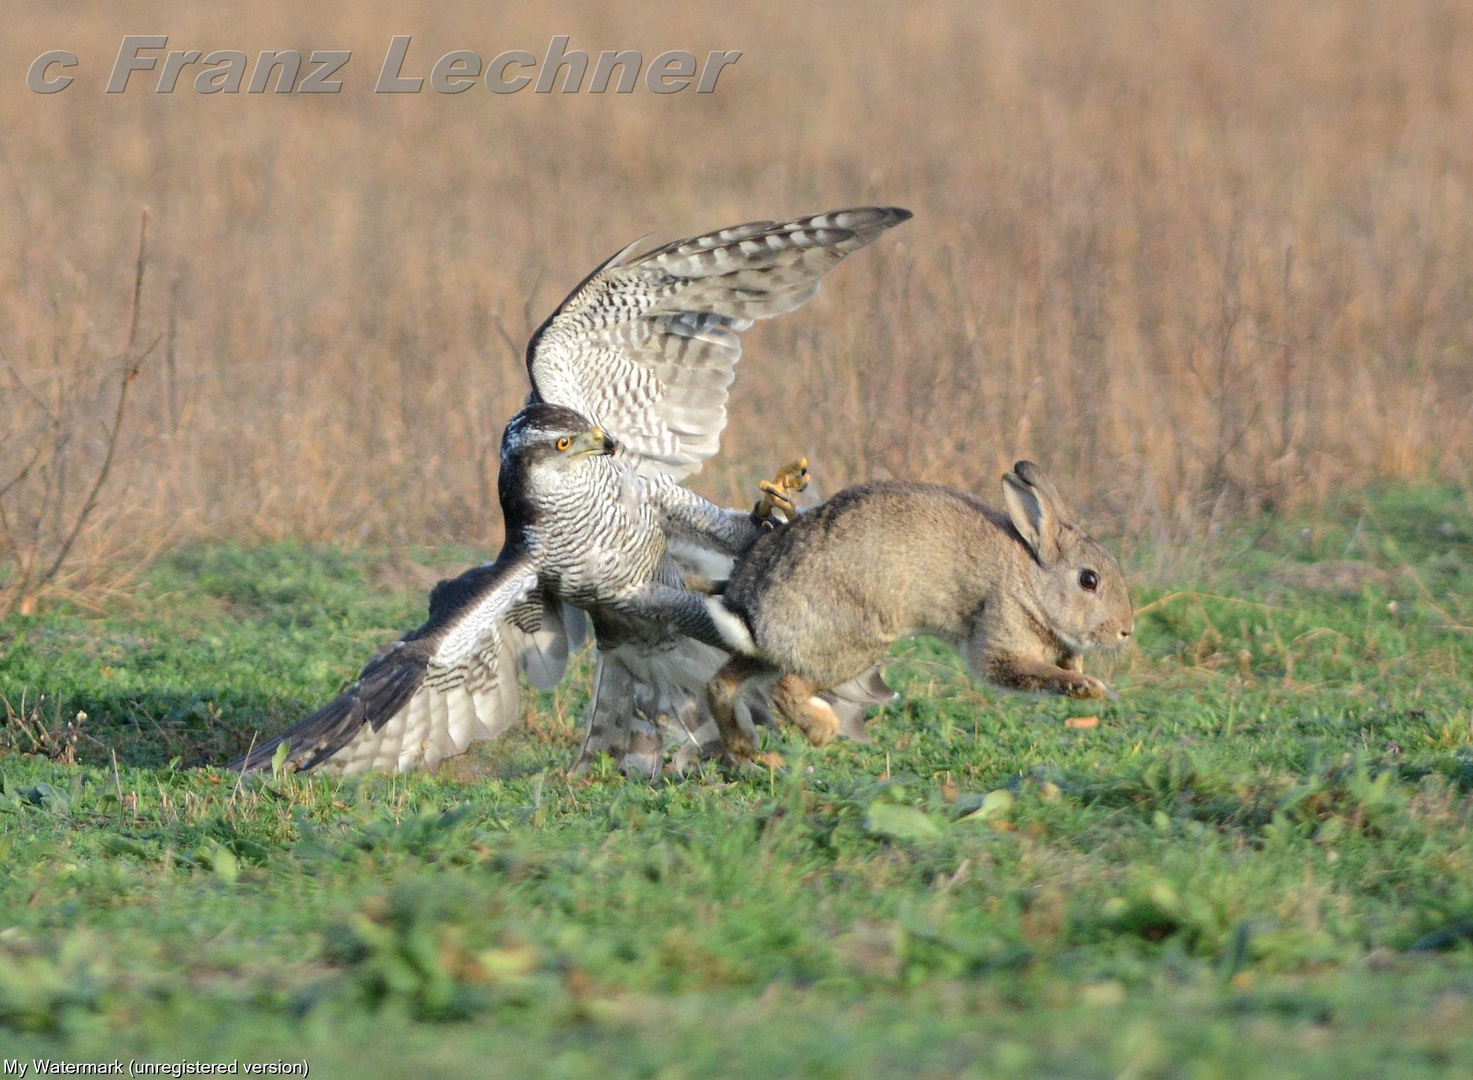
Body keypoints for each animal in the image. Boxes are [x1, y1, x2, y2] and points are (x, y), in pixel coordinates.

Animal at [698, 459, 1125, 760]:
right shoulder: (1000, 638)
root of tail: (748, 606)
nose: (1125, 631)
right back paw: (822, 730)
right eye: (1089, 580)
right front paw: (1089, 687)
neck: (1031, 581)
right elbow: (1024, 671)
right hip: (848, 647)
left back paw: (754, 752)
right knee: (786, 688)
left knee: (721, 685)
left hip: (772, 653)